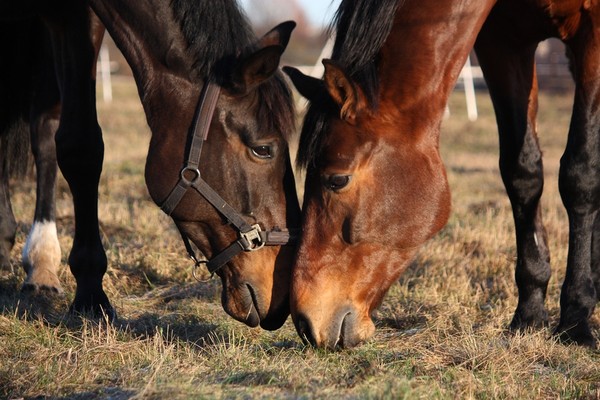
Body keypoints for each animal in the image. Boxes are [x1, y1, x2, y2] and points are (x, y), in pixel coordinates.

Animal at [284, 0, 596, 346]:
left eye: (337, 179)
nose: (304, 322)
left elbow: (580, 174)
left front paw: (576, 319)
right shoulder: (504, 41)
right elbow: (522, 173)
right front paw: (530, 314)